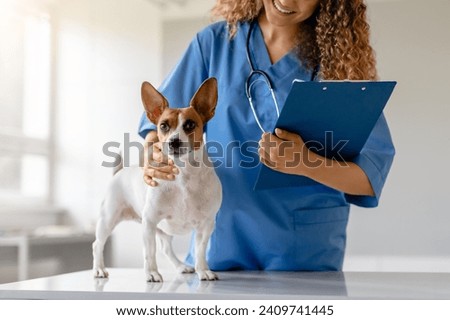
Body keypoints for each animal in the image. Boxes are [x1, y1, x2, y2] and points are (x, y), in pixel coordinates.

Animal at [93, 79, 223, 282]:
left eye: (190, 124)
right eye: (163, 126)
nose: (174, 142)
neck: (183, 175)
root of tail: (119, 172)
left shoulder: (206, 224)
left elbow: (200, 251)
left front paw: (203, 270)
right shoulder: (150, 222)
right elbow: (149, 252)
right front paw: (152, 273)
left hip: (164, 230)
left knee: (166, 248)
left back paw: (181, 266)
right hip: (108, 219)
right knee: (98, 244)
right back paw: (99, 269)